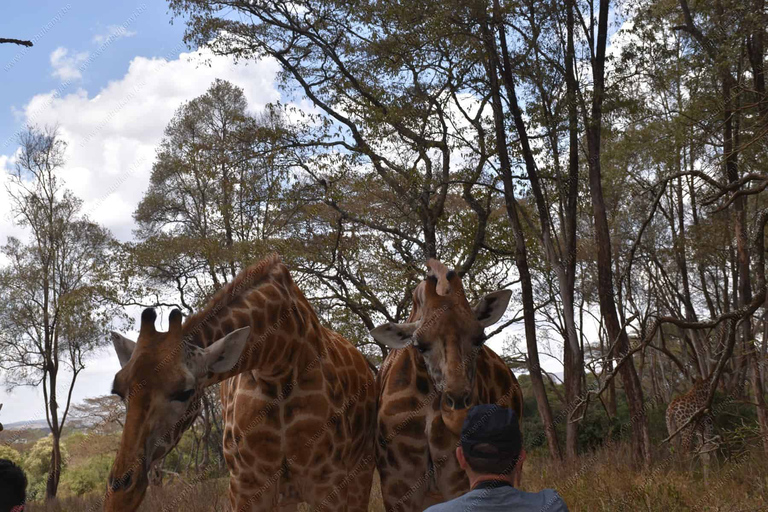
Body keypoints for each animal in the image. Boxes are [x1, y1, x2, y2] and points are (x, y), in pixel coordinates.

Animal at [104, 255, 376, 512]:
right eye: (118, 390)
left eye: (184, 392)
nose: (120, 497)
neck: (279, 366)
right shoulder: (245, 484)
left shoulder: (328, 483)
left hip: (361, 472)